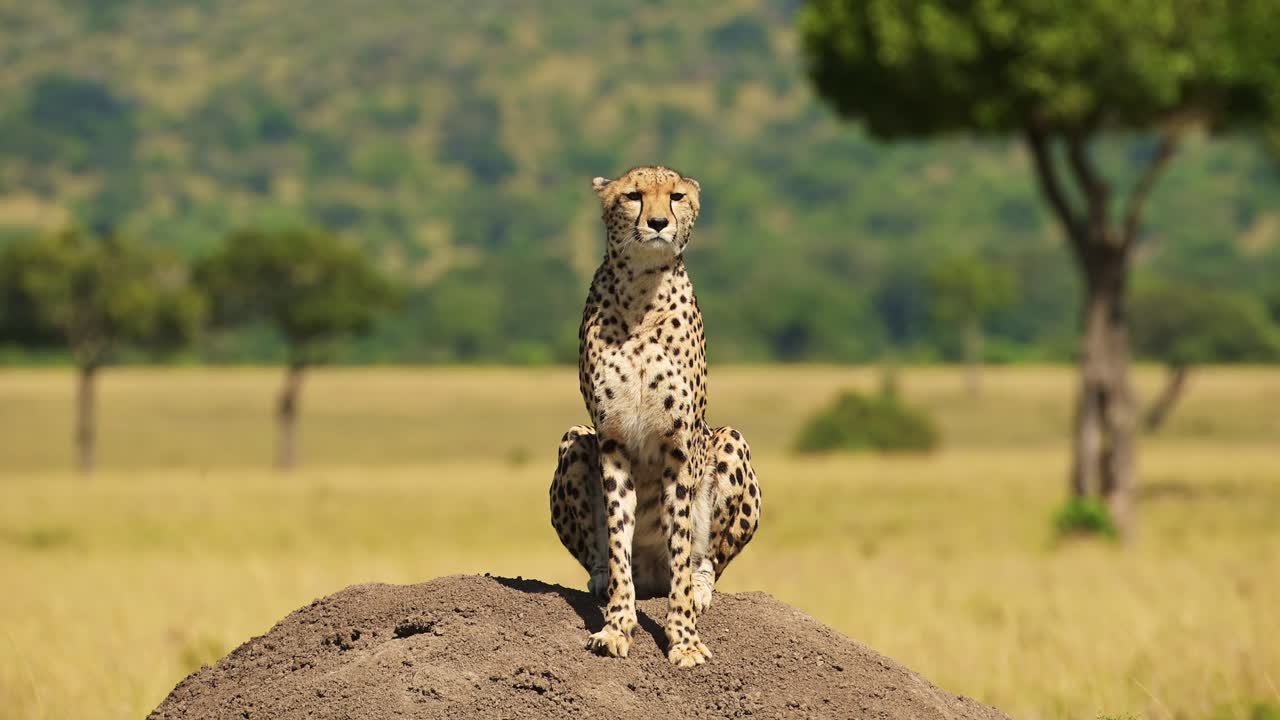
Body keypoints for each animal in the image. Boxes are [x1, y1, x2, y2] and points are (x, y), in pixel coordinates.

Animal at [549, 165, 761, 667]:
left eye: (677, 196)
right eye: (633, 196)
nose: (659, 223)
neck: (642, 291)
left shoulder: (679, 446)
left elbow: (681, 547)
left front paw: (683, 638)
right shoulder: (611, 441)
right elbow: (617, 534)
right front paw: (615, 625)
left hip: (730, 440)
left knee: (707, 560)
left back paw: (701, 588)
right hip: (574, 440)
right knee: (603, 553)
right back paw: (601, 578)